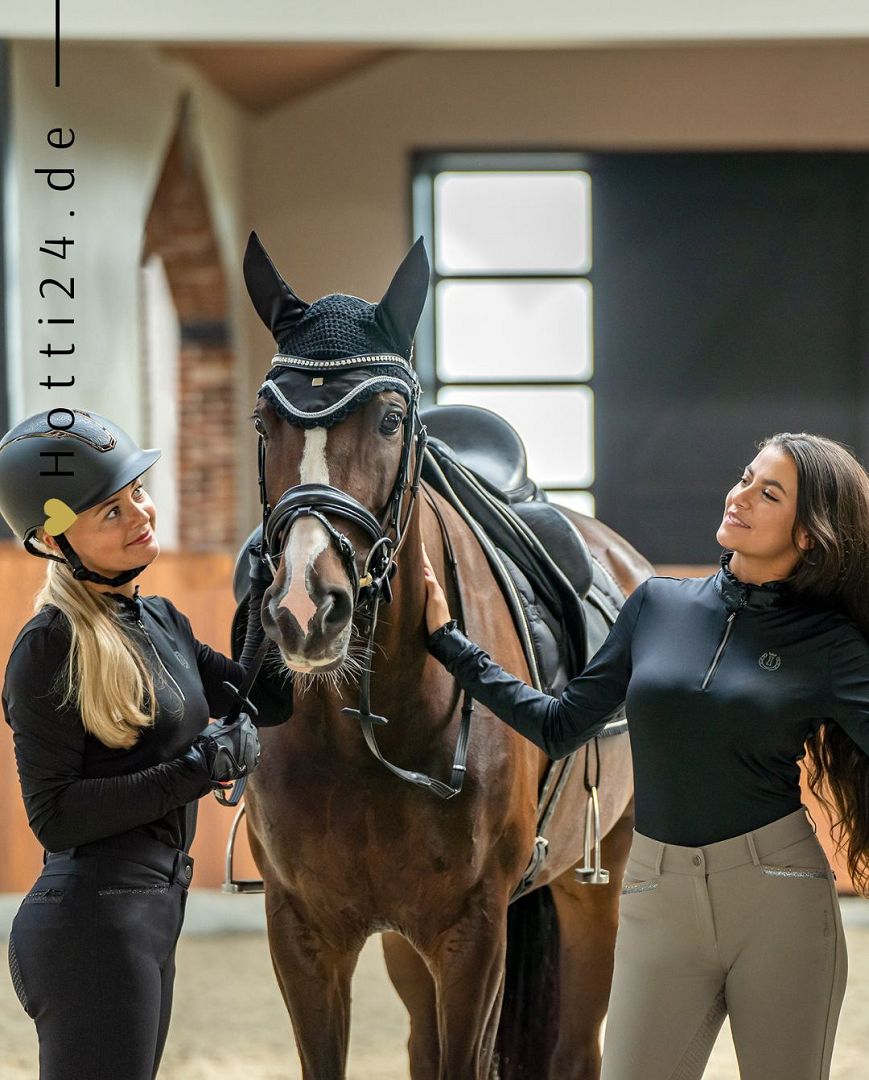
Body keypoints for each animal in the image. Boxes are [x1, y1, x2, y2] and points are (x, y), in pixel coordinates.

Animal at [237, 236, 652, 1080]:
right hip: (407, 945)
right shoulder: (302, 932)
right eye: (264, 422)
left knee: (574, 1047)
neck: (363, 728)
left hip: (593, 881)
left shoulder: (472, 933)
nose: (305, 608)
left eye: (392, 419)